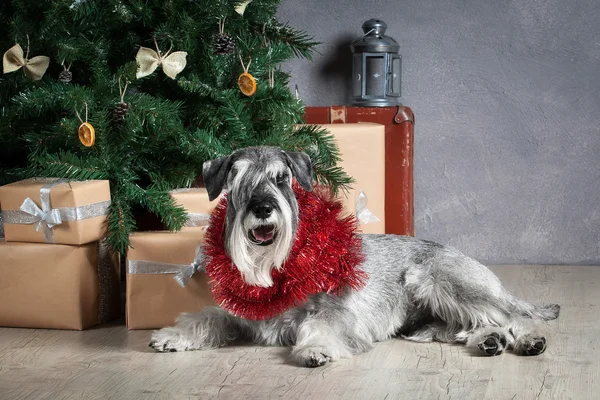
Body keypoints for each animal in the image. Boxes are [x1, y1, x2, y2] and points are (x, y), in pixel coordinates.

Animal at [148, 146, 560, 366]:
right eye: (236, 179)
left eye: (282, 178)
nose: (262, 208)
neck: (273, 271)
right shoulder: (237, 312)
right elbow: (206, 316)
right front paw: (172, 336)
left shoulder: (337, 310)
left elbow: (319, 326)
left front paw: (314, 349)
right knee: (472, 325)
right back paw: (490, 341)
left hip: (439, 281)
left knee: (512, 314)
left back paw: (526, 340)